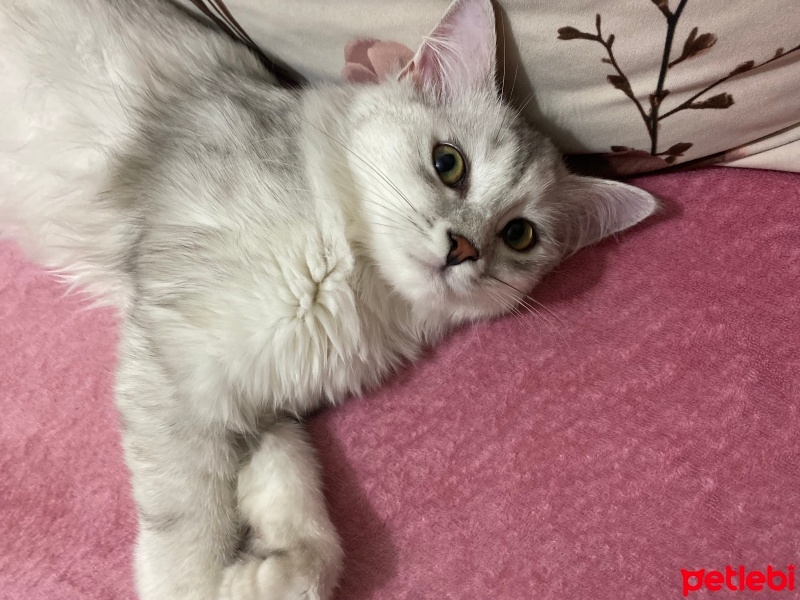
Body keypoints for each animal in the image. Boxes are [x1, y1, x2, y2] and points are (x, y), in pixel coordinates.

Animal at [0, 1, 656, 600]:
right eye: (449, 164)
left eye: (519, 235)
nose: (463, 249)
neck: (357, 287)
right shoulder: (177, 368)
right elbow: (192, 523)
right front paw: (204, 581)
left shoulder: (264, 403)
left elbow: (302, 507)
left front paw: (266, 575)